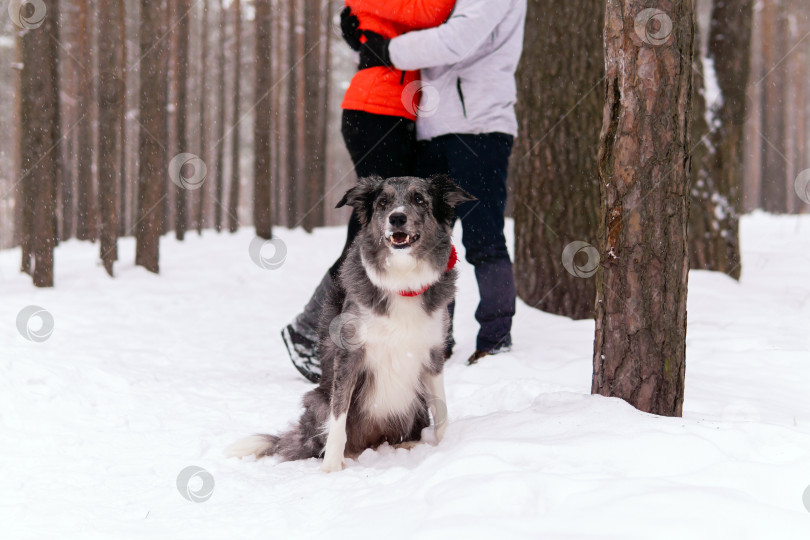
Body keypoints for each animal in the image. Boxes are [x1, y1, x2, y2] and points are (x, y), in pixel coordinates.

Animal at [226, 175, 474, 470]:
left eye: (419, 199)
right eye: (383, 202)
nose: (397, 218)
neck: (402, 280)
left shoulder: (433, 353)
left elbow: (442, 409)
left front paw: (447, 447)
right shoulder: (349, 355)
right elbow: (338, 416)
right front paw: (331, 467)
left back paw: (407, 444)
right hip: (318, 400)